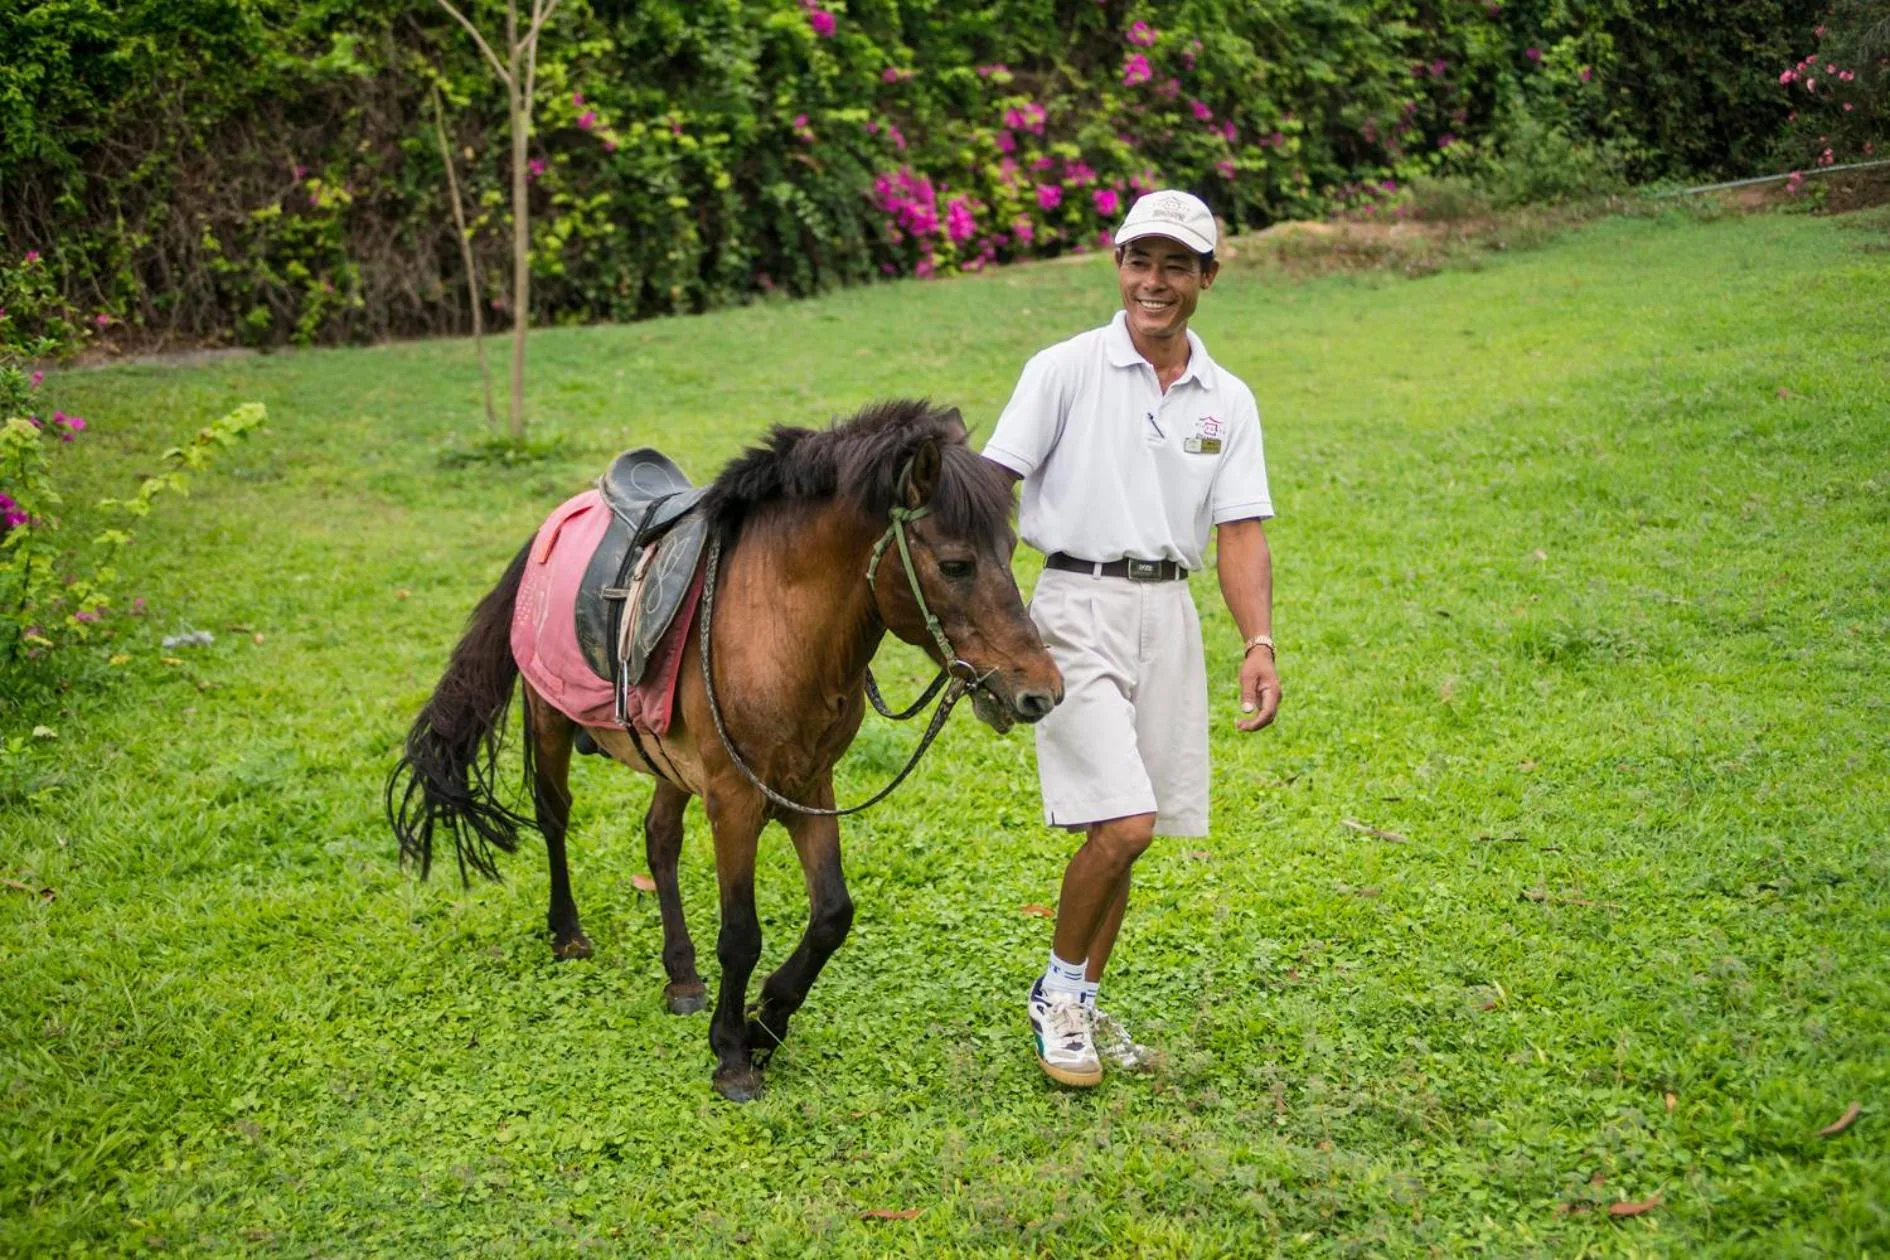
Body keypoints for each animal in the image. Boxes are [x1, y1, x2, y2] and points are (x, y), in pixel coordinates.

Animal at [386, 400, 1063, 1101]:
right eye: (956, 565)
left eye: (1011, 552)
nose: (1041, 692)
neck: (777, 625)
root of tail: (555, 520)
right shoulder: (735, 799)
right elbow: (741, 934)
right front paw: (733, 1051)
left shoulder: (809, 786)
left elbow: (832, 915)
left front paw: (769, 1019)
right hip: (550, 720)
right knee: (553, 817)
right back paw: (568, 934)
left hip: (670, 758)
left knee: (659, 837)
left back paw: (681, 975)